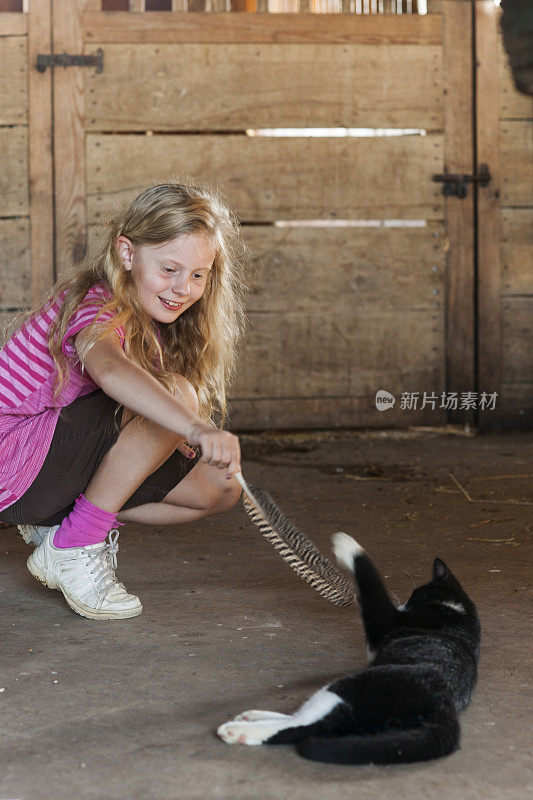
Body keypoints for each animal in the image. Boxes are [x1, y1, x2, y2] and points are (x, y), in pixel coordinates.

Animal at [216, 532, 478, 764]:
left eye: (414, 595)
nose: (403, 604)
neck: (458, 613)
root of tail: (442, 707)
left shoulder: (384, 624)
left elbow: (371, 584)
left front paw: (346, 545)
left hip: (354, 686)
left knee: (309, 726)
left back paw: (240, 730)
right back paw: (252, 718)